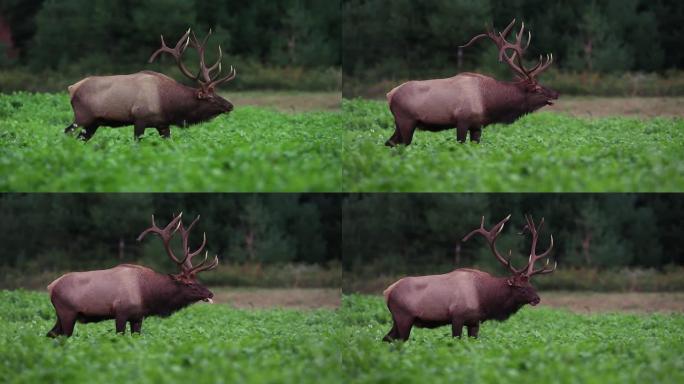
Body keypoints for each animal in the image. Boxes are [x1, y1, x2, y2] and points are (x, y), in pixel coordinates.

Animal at [46, 213, 218, 336]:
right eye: (189, 284)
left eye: (198, 279)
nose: (210, 293)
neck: (147, 294)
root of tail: (51, 286)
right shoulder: (121, 312)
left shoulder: (137, 317)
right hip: (67, 312)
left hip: (61, 315)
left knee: (51, 334)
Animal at [63, 29, 238, 141]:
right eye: (210, 97)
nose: (230, 105)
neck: (168, 103)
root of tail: (72, 88)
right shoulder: (140, 119)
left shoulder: (163, 124)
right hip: (82, 116)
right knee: (67, 131)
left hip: (93, 123)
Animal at [384, 213, 556, 342]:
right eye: (520, 287)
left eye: (531, 284)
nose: (537, 299)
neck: (484, 298)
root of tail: (388, 291)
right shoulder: (457, 316)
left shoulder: (474, 322)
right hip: (404, 317)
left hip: (397, 319)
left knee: (387, 338)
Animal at [388, 20, 560, 147]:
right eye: (537, 88)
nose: (556, 93)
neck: (489, 102)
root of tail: (390, 94)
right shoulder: (462, 120)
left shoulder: (477, 125)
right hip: (406, 121)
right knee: (401, 144)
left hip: (400, 123)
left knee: (389, 143)